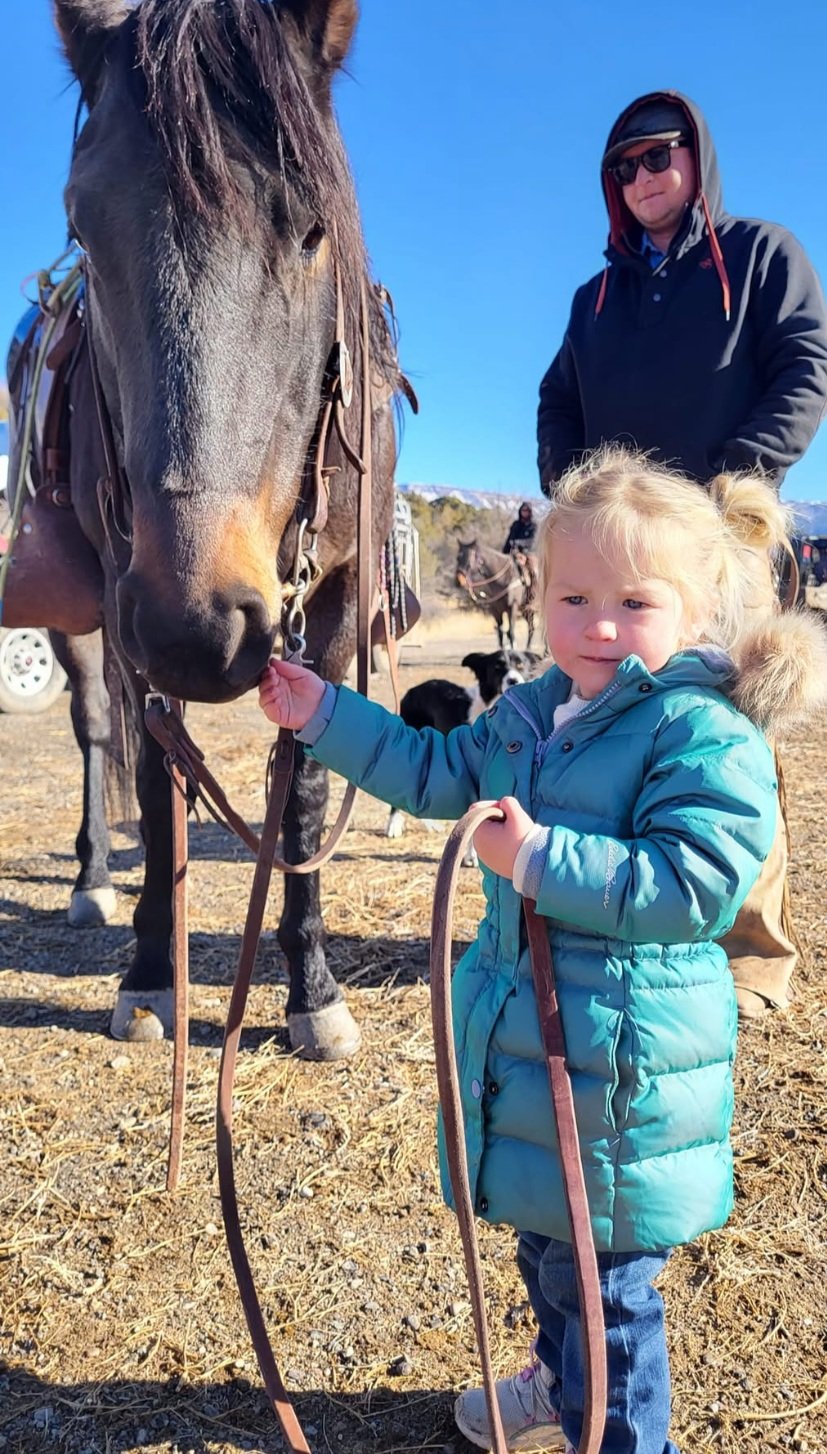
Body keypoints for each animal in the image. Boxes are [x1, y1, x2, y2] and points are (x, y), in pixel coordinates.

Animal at [39, 0, 405, 1059]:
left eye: (314, 227)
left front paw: (311, 986)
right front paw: (151, 974)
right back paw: (94, 881)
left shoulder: (336, 600)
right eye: (84, 229)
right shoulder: (126, 608)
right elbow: (161, 794)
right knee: (95, 729)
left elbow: (306, 782)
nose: (197, 625)